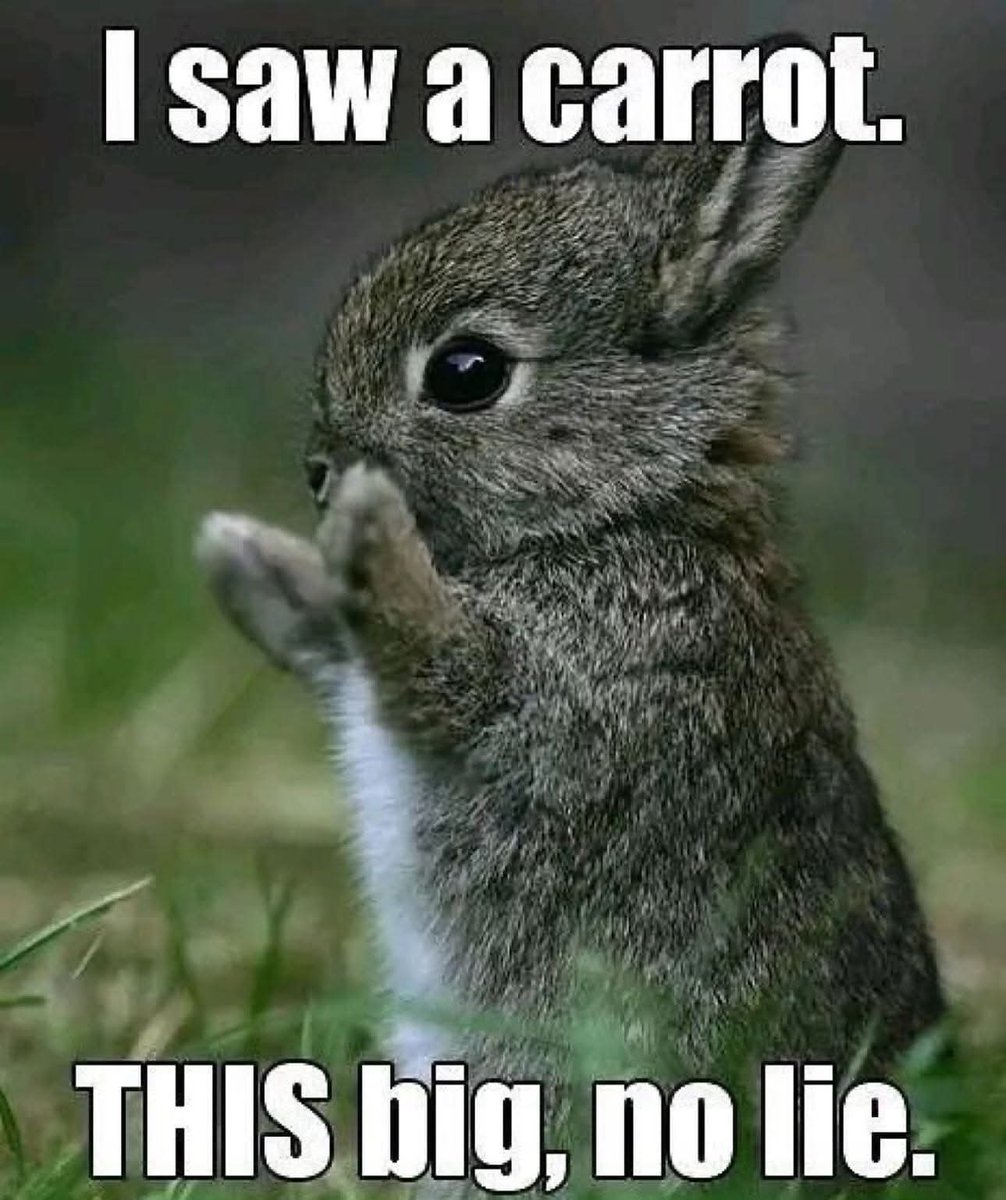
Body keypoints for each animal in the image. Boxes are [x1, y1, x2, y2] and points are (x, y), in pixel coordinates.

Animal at [196, 50, 943, 1091]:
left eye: (467, 372)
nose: (320, 471)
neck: (621, 513)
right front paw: (244, 554)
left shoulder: (573, 693)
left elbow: (437, 664)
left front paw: (367, 529)